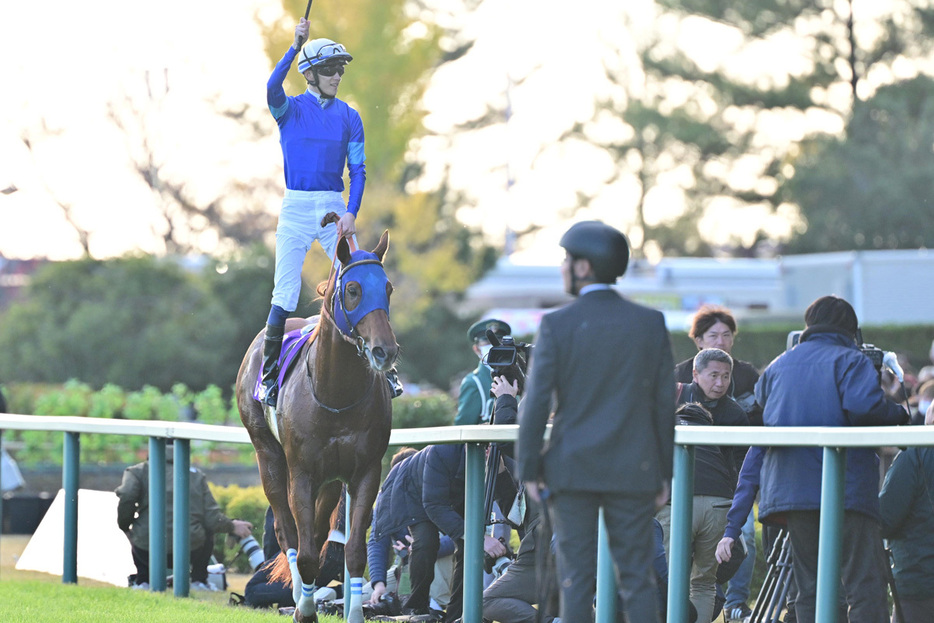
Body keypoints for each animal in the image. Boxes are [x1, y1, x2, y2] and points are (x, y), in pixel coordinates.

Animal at [236, 229, 396, 623]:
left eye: (388, 288)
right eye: (353, 288)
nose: (385, 351)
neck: (336, 394)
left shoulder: (365, 470)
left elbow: (352, 550)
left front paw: (354, 614)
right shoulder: (303, 473)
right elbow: (306, 552)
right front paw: (305, 610)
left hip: (330, 479)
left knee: (319, 532)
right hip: (268, 456)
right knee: (287, 532)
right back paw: (297, 594)